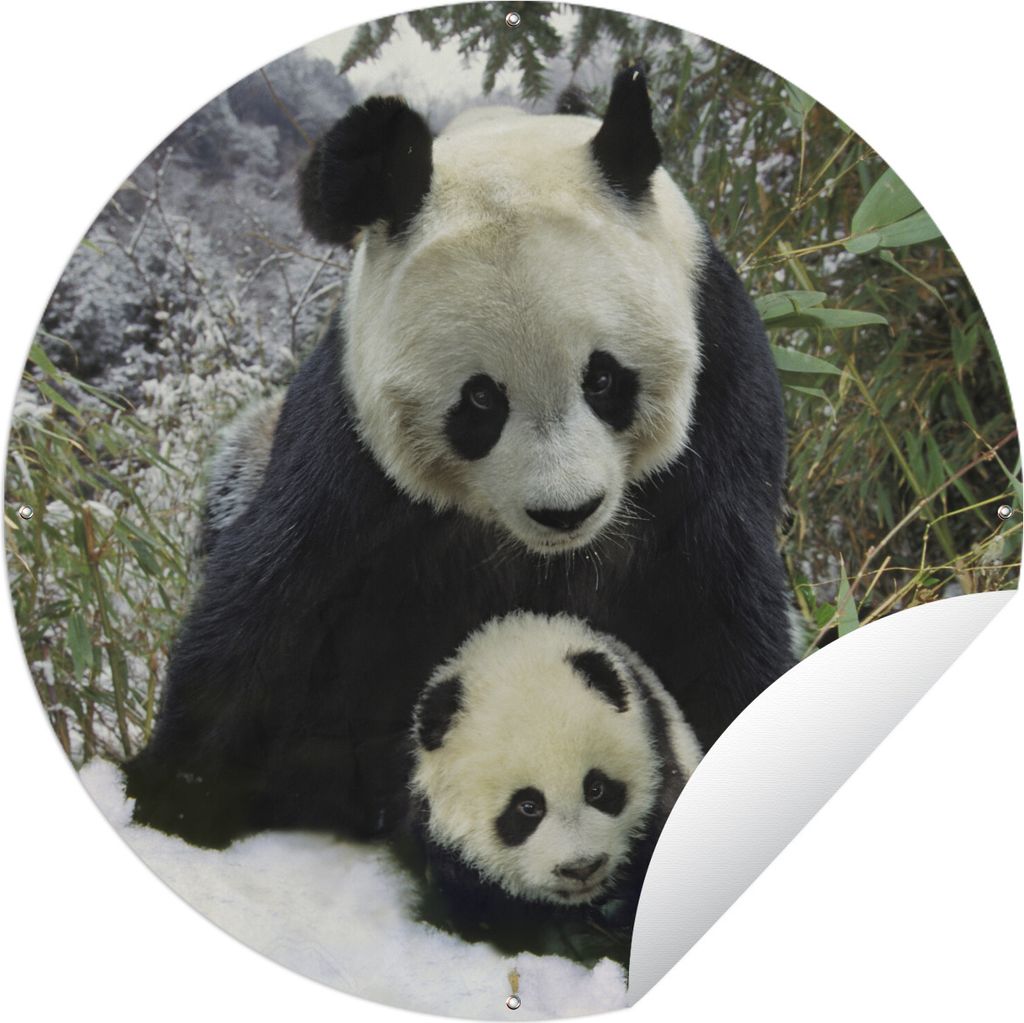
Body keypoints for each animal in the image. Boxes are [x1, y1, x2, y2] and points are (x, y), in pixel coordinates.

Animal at [124, 66, 793, 849]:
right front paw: (175, 794)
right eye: (480, 400)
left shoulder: (719, 394)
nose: (566, 511)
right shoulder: (351, 440)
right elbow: (275, 594)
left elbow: (717, 603)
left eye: (603, 379)